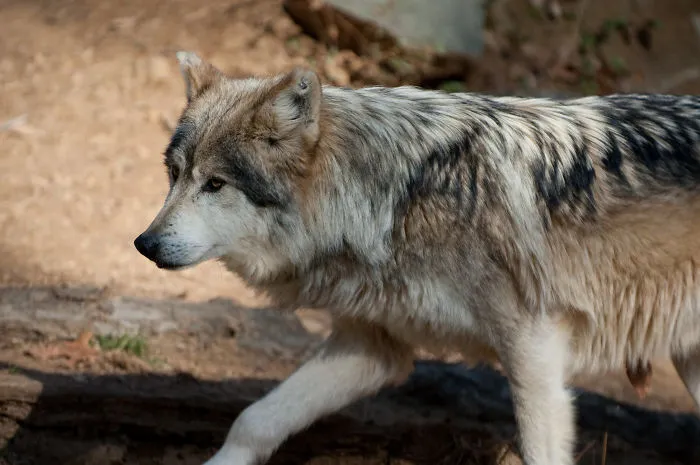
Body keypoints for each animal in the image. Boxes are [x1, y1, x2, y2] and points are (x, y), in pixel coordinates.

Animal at [134, 51, 700, 465]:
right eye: (174, 175)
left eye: (215, 184)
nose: (145, 244)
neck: (397, 198)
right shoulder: (373, 347)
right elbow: (254, 420)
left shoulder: (534, 347)